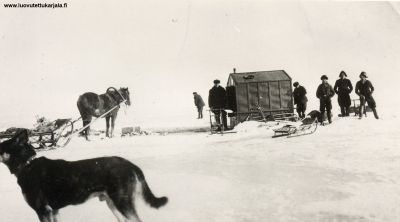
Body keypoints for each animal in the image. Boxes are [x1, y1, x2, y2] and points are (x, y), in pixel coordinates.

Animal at [0, 129, 167, 221]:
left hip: (122, 203)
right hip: (113, 204)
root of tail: (130, 164)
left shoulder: (43, 211)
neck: (27, 164)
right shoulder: (53, 211)